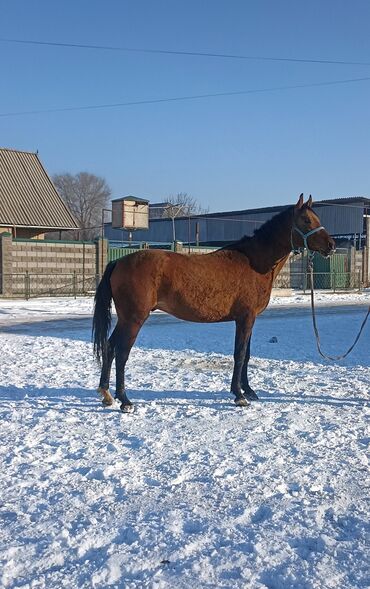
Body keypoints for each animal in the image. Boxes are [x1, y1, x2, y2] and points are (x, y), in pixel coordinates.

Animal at [92, 195, 336, 412]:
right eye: (307, 220)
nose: (332, 245)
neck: (253, 262)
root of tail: (119, 261)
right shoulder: (245, 318)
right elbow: (239, 354)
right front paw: (239, 395)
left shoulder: (249, 319)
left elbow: (246, 354)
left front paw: (248, 390)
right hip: (134, 319)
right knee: (122, 352)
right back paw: (124, 400)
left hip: (126, 319)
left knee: (110, 347)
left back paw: (106, 394)